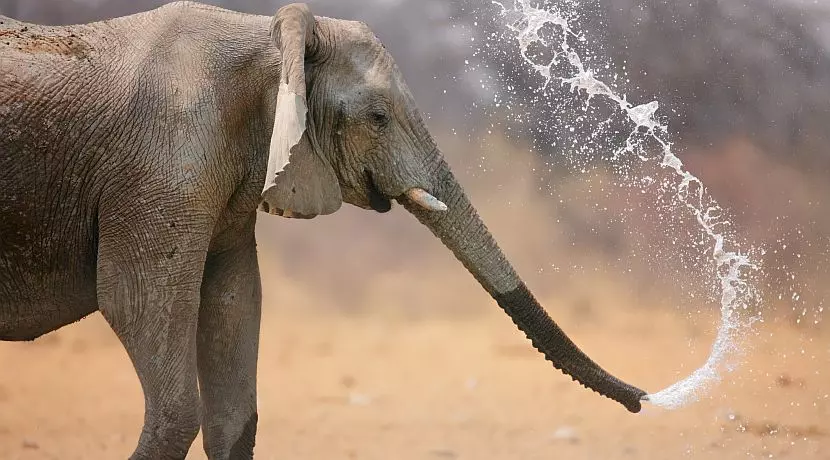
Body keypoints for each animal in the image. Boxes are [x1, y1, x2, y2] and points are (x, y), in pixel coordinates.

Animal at [0, 2, 646, 458]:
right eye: (378, 118)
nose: (645, 400)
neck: (269, 36)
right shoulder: (162, 168)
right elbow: (139, 307)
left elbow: (234, 313)